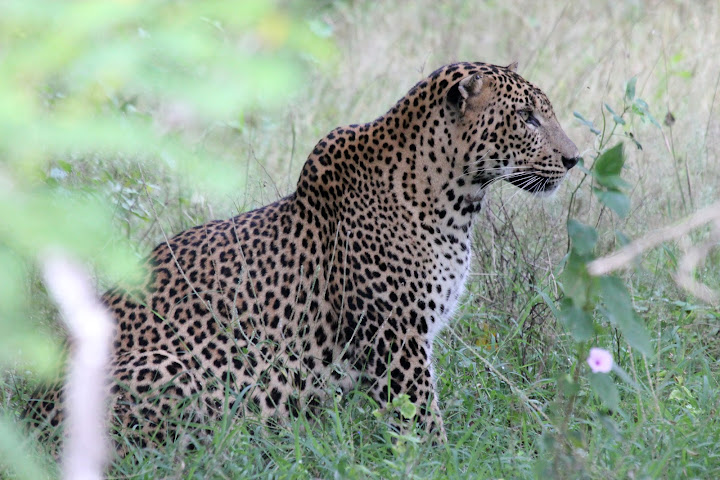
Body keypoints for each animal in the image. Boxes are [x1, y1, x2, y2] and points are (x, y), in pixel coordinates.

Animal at [25, 61, 580, 454]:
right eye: (527, 118)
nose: (575, 159)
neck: (457, 197)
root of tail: (30, 417)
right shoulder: (396, 336)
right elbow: (422, 419)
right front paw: (445, 459)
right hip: (176, 370)